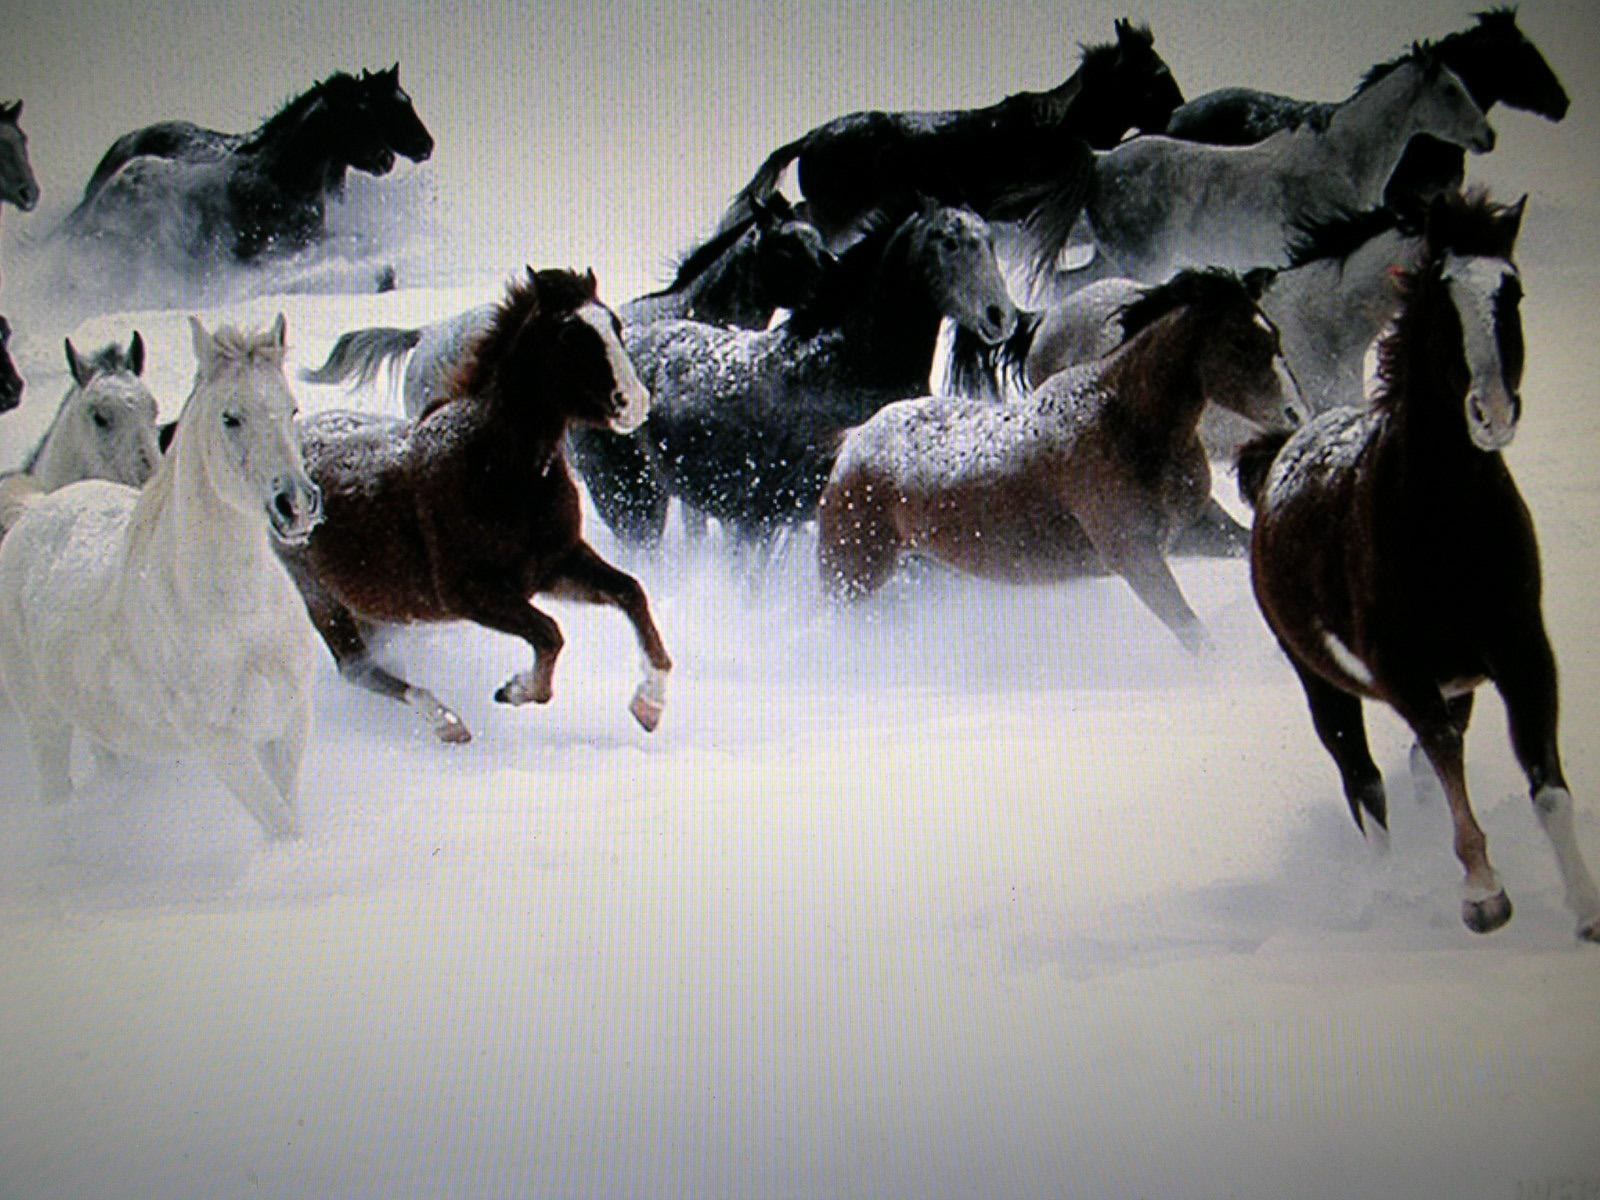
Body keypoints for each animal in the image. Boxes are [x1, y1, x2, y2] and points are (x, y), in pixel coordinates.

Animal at [277, 267, 673, 744]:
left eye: (614, 324)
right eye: (568, 334)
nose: (636, 403)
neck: (497, 471)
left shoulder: (555, 565)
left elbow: (629, 592)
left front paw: (649, 704)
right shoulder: (471, 593)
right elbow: (550, 634)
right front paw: (516, 691)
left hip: (371, 607)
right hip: (320, 597)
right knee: (356, 668)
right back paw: (447, 722)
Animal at [818, 269, 1302, 654]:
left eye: (1275, 335)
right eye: (1239, 341)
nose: (1294, 414)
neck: (1127, 420)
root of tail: (854, 440)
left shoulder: (1193, 529)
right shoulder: (1135, 556)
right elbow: (1195, 636)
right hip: (851, 575)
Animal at [1240, 191, 1599, 942]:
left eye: (1513, 291)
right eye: (1441, 300)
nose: (1492, 413)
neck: (1445, 523)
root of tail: (1276, 454)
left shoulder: (1523, 652)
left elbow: (1546, 786)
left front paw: (1586, 910)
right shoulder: (1399, 667)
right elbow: (1439, 752)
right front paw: (1484, 896)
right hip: (1322, 682)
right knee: (1365, 782)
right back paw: (1385, 890)